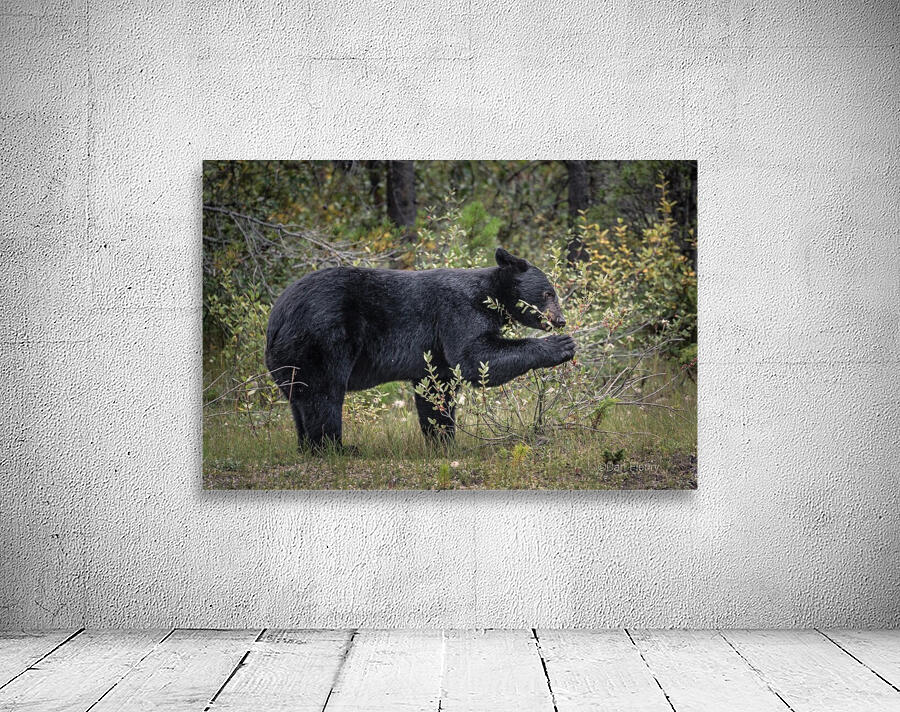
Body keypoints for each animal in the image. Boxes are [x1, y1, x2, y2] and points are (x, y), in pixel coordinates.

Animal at [265, 247, 576, 450]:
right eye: (549, 293)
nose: (560, 321)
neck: (491, 296)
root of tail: (276, 319)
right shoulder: (458, 312)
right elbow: (474, 357)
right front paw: (561, 345)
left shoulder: (433, 352)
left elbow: (437, 390)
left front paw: (443, 440)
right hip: (321, 340)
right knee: (323, 396)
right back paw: (335, 447)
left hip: (289, 360)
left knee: (299, 400)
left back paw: (307, 447)